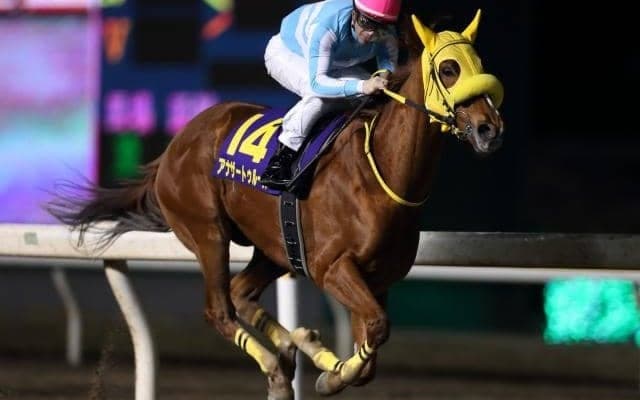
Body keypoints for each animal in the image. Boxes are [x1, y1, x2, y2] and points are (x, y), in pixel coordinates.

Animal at [47, 10, 504, 400]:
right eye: (448, 69)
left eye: (479, 63)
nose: (490, 129)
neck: (380, 174)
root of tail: (176, 144)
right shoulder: (331, 267)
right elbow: (375, 329)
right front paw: (329, 376)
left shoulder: (378, 279)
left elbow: (371, 349)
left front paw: (324, 361)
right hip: (208, 232)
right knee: (220, 309)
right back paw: (277, 369)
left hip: (274, 246)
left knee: (241, 293)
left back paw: (294, 346)